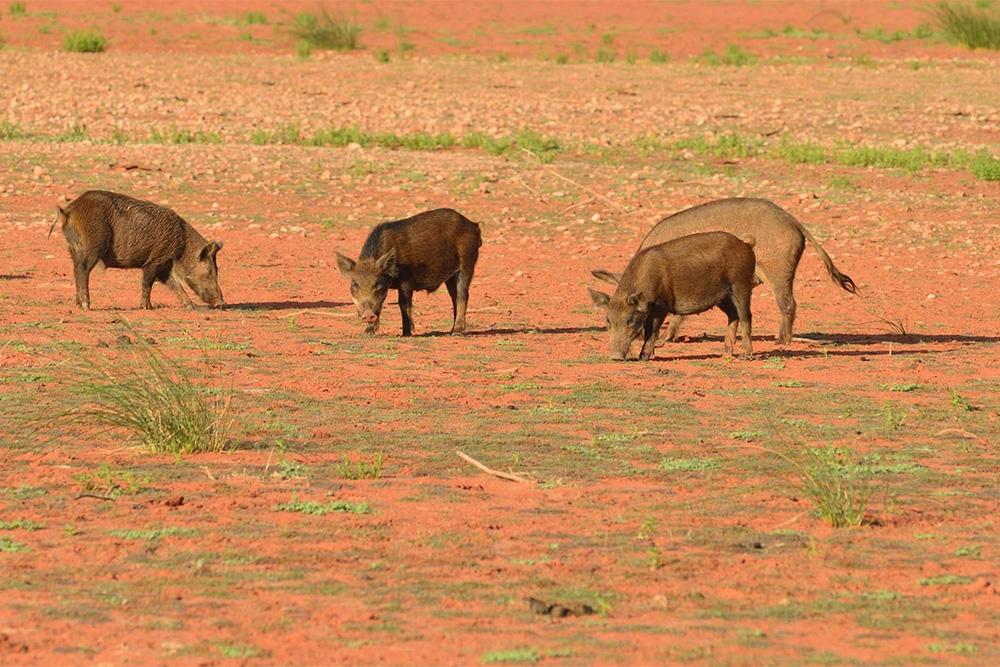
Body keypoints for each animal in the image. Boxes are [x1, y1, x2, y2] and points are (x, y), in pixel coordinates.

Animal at [51, 190, 227, 310]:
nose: (221, 303)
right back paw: (86, 305)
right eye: (210, 270)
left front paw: (191, 306)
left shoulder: (164, 264)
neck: (182, 244)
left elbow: (175, 284)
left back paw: (78, 304)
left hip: (73, 249)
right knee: (82, 270)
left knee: (76, 269)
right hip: (93, 245)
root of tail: (69, 210)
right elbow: (147, 282)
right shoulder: (155, 259)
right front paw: (147, 307)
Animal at [336, 207, 480, 336]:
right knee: (454, 297)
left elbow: (403, 304)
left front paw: (406, 333)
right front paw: (368, 332)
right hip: (450, 276)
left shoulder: (406, 280)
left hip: (467, 263)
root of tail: (473, 225)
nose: (368, 314)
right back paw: (451, 331)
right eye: (355, 284)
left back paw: (457, 332)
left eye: (377, 284)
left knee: (462, 296)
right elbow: (381, 304)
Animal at [588, 232, 752, 362]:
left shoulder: (662, 305)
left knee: (746, 317)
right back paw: (726, 354)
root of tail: (746, 244)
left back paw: (747, 355)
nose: (615, 357)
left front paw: (643, 357)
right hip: (723, 298)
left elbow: (651, 331)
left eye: (630, 320)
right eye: (608, 320)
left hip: (741, 285)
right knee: (733, 315)